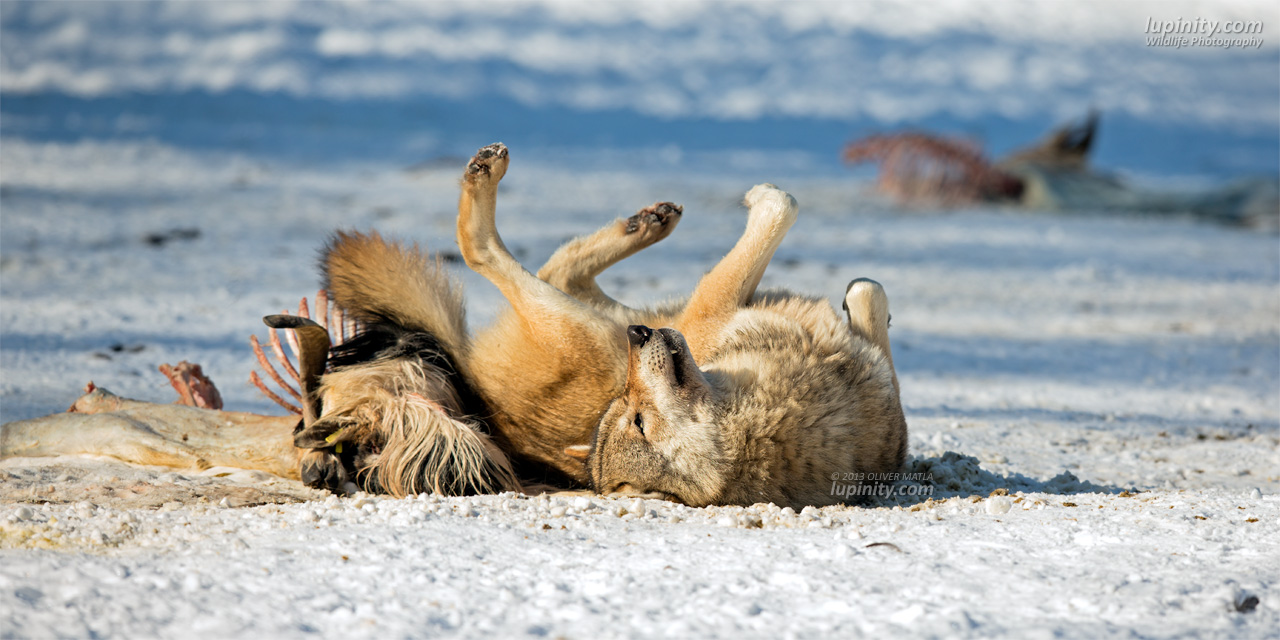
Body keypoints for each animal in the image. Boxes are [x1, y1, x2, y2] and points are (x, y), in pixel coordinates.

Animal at [286, 142, 911, 506]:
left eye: (635, 418)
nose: (640, 341)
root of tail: (473, 390)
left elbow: (866, 292)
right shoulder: (711, 308)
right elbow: (786, 210)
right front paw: (764, 195)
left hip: (589, 318)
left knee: (527, 260)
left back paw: (641, 220)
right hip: (588, 321)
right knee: (488, 250)